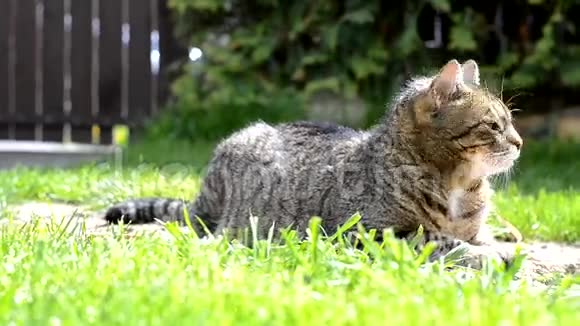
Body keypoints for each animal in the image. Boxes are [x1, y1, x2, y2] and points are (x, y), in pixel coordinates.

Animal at [105, 59, 524, 268]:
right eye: (494, 125)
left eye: (510, 120)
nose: (520, 143)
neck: (457, 184)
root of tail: (203, 198)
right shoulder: (373, 233)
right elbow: (443, 241)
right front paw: (490, 255)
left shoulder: (468, 228)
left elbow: (477, 238)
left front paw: (502, 247)